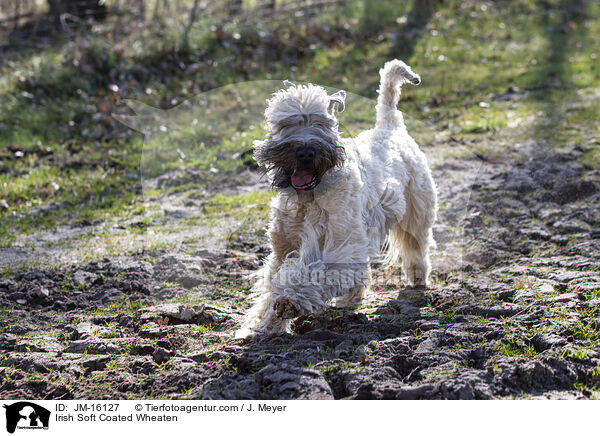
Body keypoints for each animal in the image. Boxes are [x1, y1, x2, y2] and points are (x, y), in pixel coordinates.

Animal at [237, 59, 438, 338]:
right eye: (285, 124)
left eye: (322, 123)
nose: (305, 152)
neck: (308, 198)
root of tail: (390, 126)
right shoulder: (283, 249)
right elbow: (271, 284)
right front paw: (263, 325)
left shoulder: (339, 247)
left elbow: (308, 274)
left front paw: (289, 301)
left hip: (416, 213)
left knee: (416, 248)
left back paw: (417, 280)